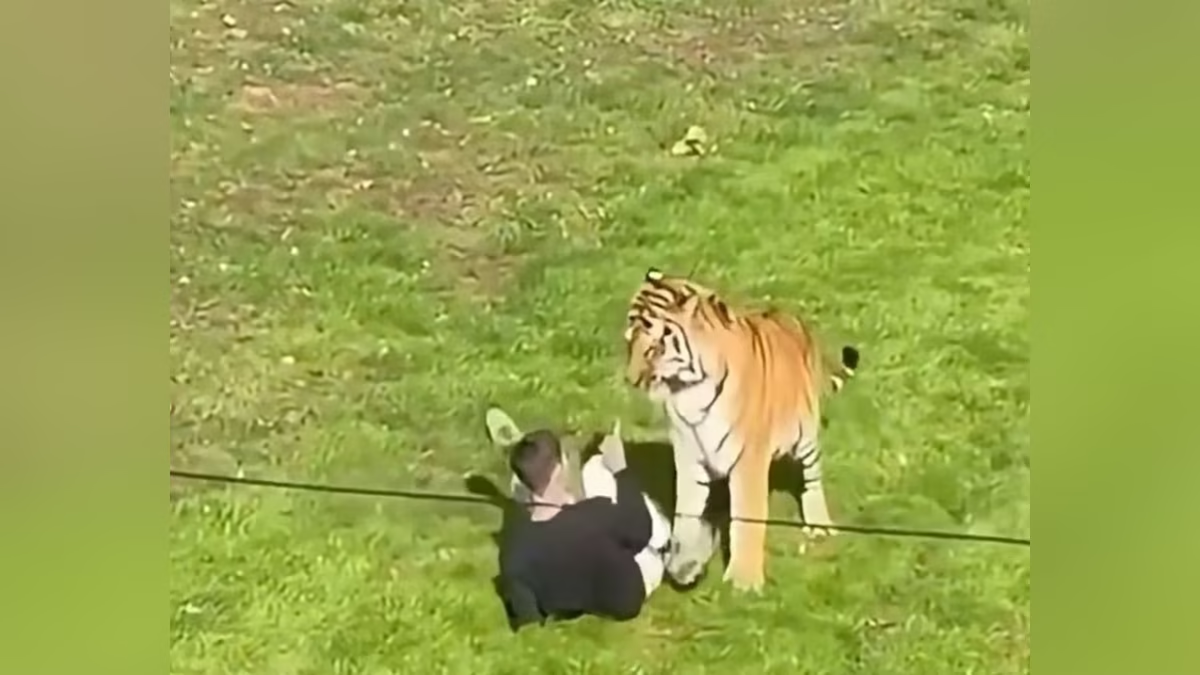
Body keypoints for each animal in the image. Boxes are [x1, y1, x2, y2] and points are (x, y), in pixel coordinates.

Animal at [623, 268, 861, 591]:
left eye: (654, 347)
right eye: (628, 341)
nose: (630, 379)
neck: (688, 391)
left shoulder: (749, 459)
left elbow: (746, 519)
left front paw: (743, 581)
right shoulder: (688, 457)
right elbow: (686, 514)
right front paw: (684, 566)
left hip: (806, 436)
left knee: (812, 479)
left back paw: (819, 525)